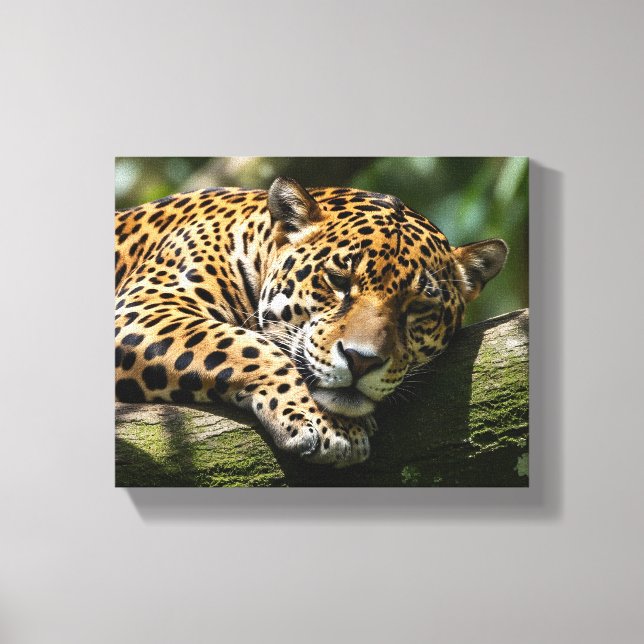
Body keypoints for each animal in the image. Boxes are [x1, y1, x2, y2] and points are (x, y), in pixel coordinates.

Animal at [115, 177, 508, 467]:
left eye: (419, 306)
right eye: (337, 280)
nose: (361, 361)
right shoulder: (145, 306)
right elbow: (248, 346)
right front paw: (327, 425)